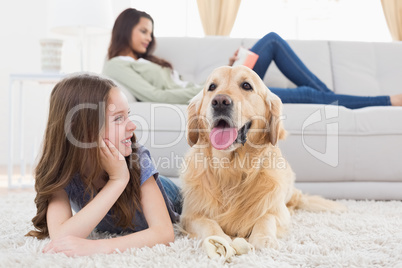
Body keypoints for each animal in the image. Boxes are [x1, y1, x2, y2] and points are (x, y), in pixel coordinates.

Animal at [179, 65, 346, 251]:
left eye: (246, 85)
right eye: (212, 87)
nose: (220, 101)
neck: (232, 168)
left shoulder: (277, 211)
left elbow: (266, 217)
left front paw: (263, 238)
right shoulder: (189, 215)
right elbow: (208, 223)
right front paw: (218, 240)